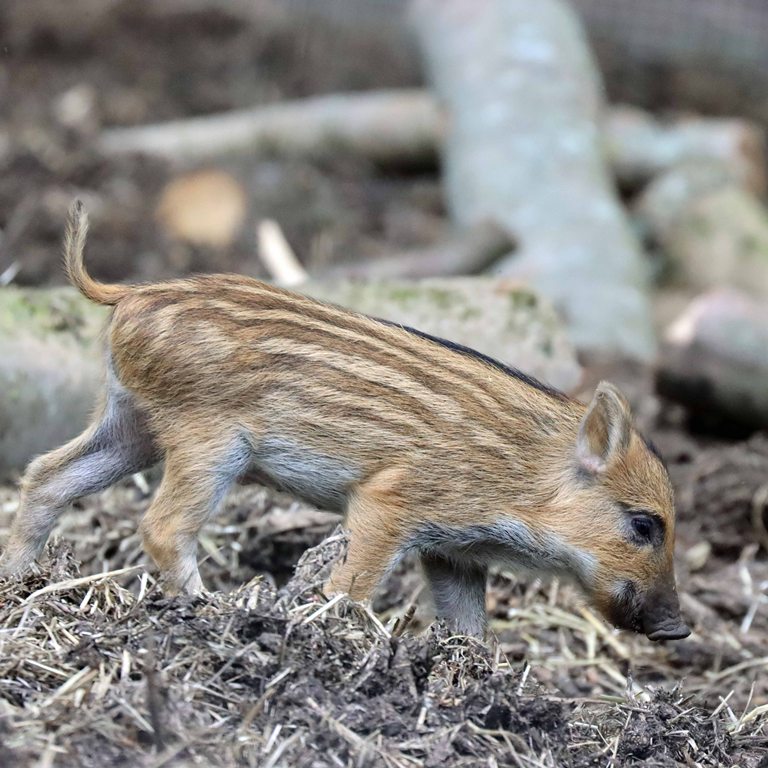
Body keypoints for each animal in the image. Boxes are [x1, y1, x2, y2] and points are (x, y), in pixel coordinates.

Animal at [0, 202, 690, 641]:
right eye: (643, 524)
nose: (678, 629)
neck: (524, 474)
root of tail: (131, 293)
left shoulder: (454, 550)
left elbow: (470, 624)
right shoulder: (389, 502)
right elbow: (352, 582)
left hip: (133, 425)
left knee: (47, 476)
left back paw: (16, 579)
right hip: (207, 438)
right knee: (162, 526)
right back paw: (212, 610)